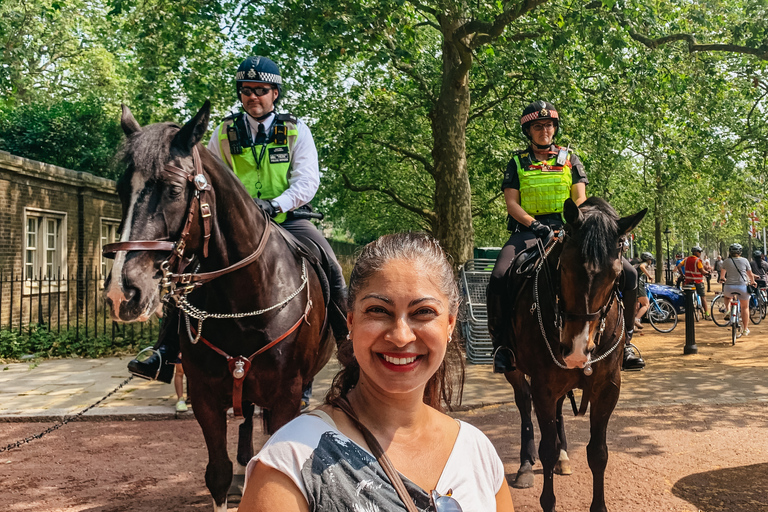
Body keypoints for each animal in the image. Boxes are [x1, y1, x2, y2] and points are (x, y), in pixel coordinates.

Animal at [102, 102, 332, 510]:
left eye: (174, 189)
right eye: (121, 190)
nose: (121, 293)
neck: (243, 300)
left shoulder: (285, 398)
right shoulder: (205, 397)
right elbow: (218, 474)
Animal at [500, 197, 644, 512]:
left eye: (616, 275)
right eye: (563, 267)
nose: (577, 350)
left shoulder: (607, 388)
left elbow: (598, 452)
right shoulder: (543, 385)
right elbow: (547, 449)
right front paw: (548, 499)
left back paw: (565, 457)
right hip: (516, 372)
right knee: (525, 406)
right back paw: (525, 467)